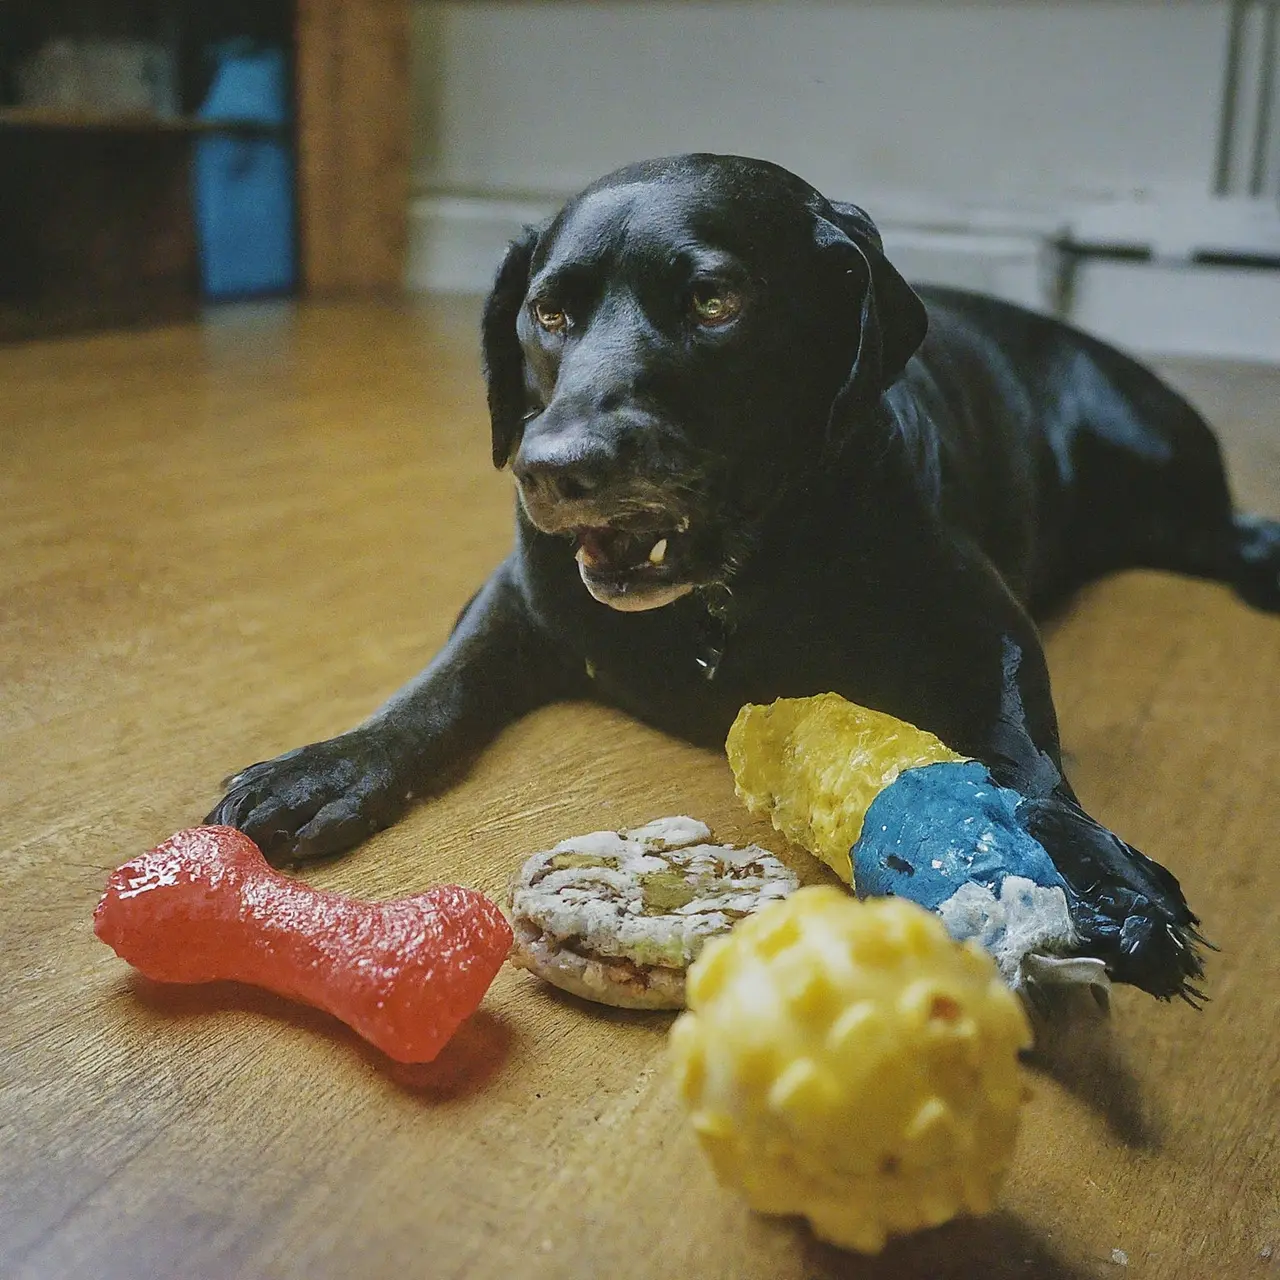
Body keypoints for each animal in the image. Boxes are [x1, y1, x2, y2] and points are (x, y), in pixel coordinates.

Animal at [209, 154, 1280, 998]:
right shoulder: (518, 597)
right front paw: (324, 770)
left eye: (714, 302)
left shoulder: (991, 630)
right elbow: (436, 692)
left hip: (1153, 462)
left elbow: (1028, 765)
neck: (731, 584)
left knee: (1219, 528)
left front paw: (1111, 884)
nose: (551, 467)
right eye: (548, 312)